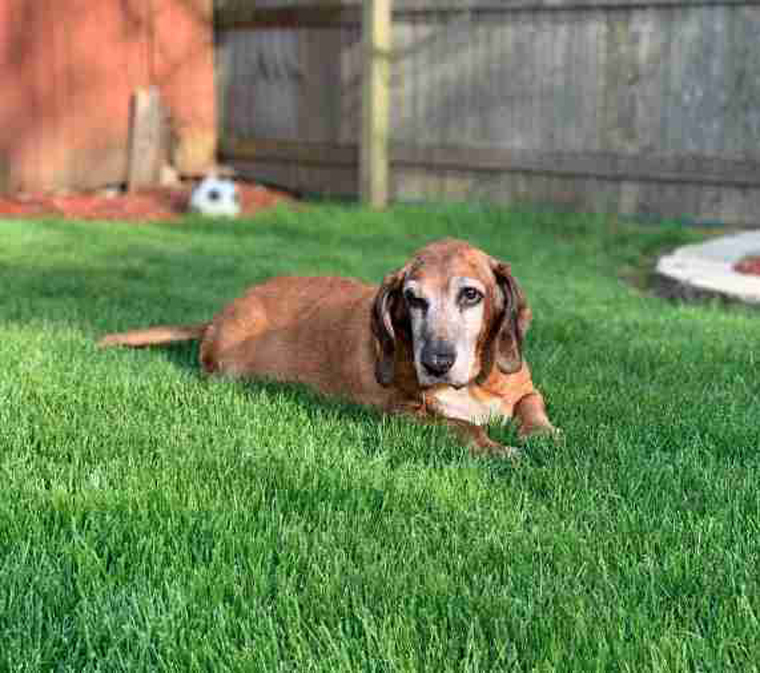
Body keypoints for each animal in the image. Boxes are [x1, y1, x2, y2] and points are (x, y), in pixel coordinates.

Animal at [98, 238, 556, 456]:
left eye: (471, 295)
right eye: (413, 299)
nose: (437, 362)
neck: (474, 384)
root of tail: (217, 316)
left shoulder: (525, 389)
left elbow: (532, 406)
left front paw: (542, 433)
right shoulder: (403, 415)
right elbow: (463, 426)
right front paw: (497, 448)